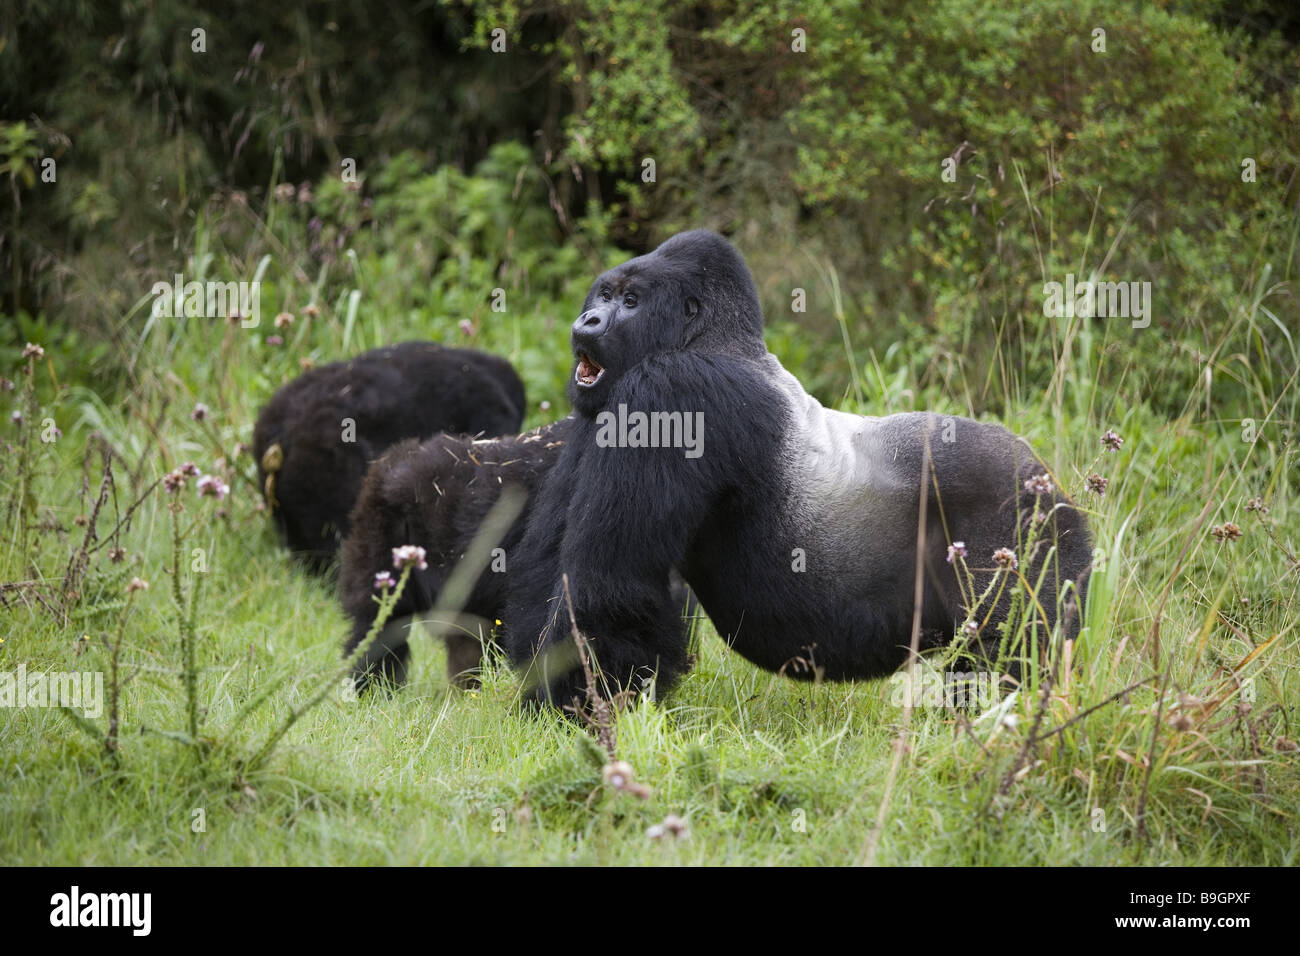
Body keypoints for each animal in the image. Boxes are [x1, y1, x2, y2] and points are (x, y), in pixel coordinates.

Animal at [501, 231, 1092, 712]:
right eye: (602, 295)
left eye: (629, 301)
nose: (588, 320)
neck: (714, 339)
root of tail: (1049, 477)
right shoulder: (603, 407)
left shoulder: (670, 391)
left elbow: (610, 586)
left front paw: (573, 708)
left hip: (1028, 520)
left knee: (1014, 653)